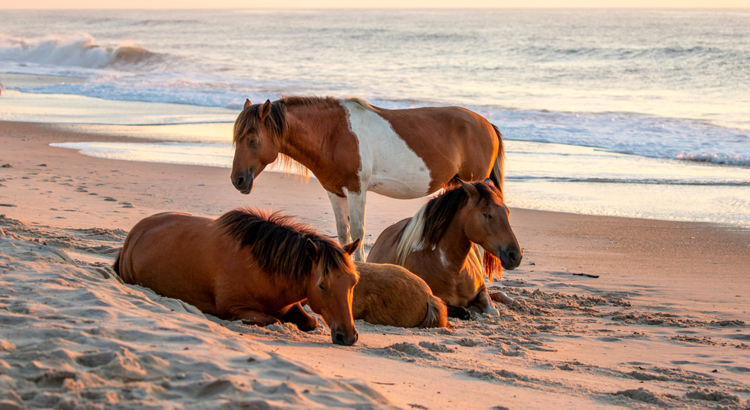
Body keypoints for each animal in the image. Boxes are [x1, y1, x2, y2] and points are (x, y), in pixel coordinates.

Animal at [114, 208, 364, 346]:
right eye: (322, 286)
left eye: (353, 283)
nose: (348, 337)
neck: (261, 268)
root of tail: (135, 233)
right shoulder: (232, 309)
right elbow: (273, 321)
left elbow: (310, 322)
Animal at [234, 97, 506, 260]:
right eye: (236, 138)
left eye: (253, 140)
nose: (238, 180)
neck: (333, 134)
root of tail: (487, 125)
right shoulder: (335, 191)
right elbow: (343, 232)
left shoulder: (356, 190)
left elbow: (357, 232)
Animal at [368, 180, 524, 320]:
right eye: (487, 214)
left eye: (507, 212)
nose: (515, 256)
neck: (453, 271)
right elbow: (461, 310)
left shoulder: (481, 290)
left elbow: (492, 310)